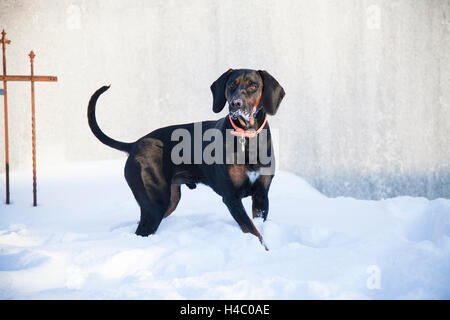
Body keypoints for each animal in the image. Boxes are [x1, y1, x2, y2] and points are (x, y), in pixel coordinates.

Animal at [88, 69, 284, 250]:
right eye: (231, 85)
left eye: (253, 86)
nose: (236, 103)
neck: (248, 137)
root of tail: (134, 144)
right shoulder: (231, 197)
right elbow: (253, 231)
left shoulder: (261, 196)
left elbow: (257, 227)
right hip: (155, 204)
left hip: (169, 201)